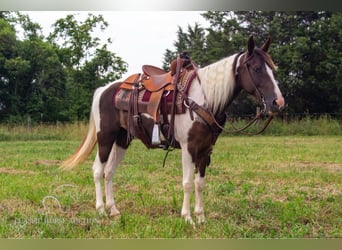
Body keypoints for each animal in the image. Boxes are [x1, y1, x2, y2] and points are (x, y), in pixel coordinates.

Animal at [60, 35, 284, 225]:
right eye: (256, 68)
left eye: (272, 68)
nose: (278, 102)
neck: (203, 99)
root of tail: (104, 90)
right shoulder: (188, 147)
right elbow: (187, 182)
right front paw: (187, 218)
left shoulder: (206, 150)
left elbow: (200, 182)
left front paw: (201, 217)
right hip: (105, 137)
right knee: (98, 170)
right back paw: (100, 210)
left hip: (122, 140)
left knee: (109, 172)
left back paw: (113, 210)